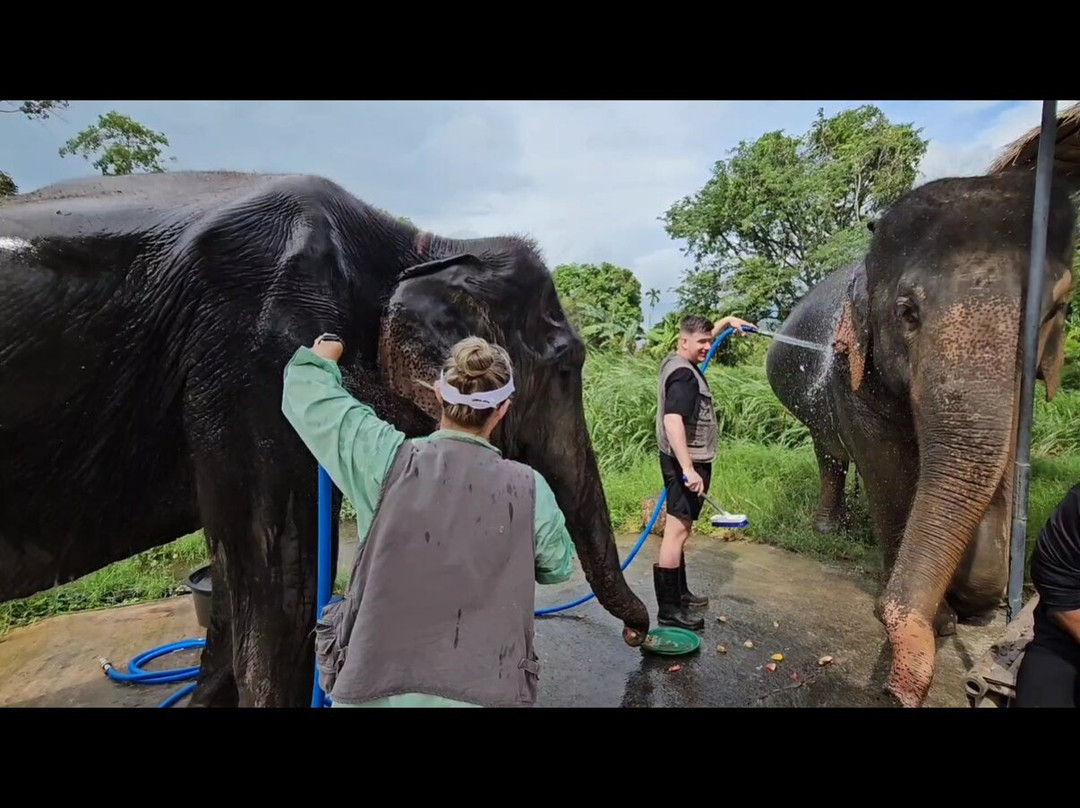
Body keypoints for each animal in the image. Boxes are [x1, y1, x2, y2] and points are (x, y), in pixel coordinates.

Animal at [0, 170, 650, 707]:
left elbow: (234, 593)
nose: (638, 634)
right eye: (566, 366)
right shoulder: (255, 357)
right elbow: (279, 585)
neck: (420, 248)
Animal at [765, 165, 1078, 708]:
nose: (897, 689)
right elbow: (886, 467)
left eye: (1057, 309)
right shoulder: (854, 366)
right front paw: (943, 620)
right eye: (907, 311)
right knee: (830, 449)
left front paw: (975, 601)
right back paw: (829, 529)